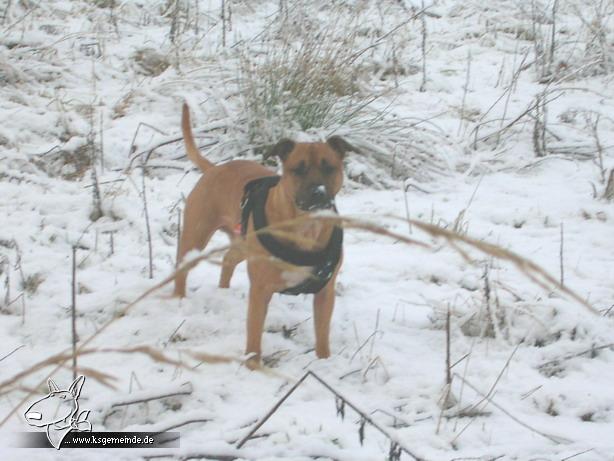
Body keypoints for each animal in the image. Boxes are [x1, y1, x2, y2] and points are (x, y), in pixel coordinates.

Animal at [174, 104, 356, 366]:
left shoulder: (325, 293)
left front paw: (324, 362)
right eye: (298, 169)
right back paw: (178, 298)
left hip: (242, 243)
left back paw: (223, 291)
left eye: (329, 167)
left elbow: (322, 335)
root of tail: (216, 167)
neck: (305, 226)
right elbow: (254, 334)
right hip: (196, 235)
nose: (318, 193)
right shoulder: (260, 291)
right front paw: (253, 364)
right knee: (183, 267)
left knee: (228, 259)